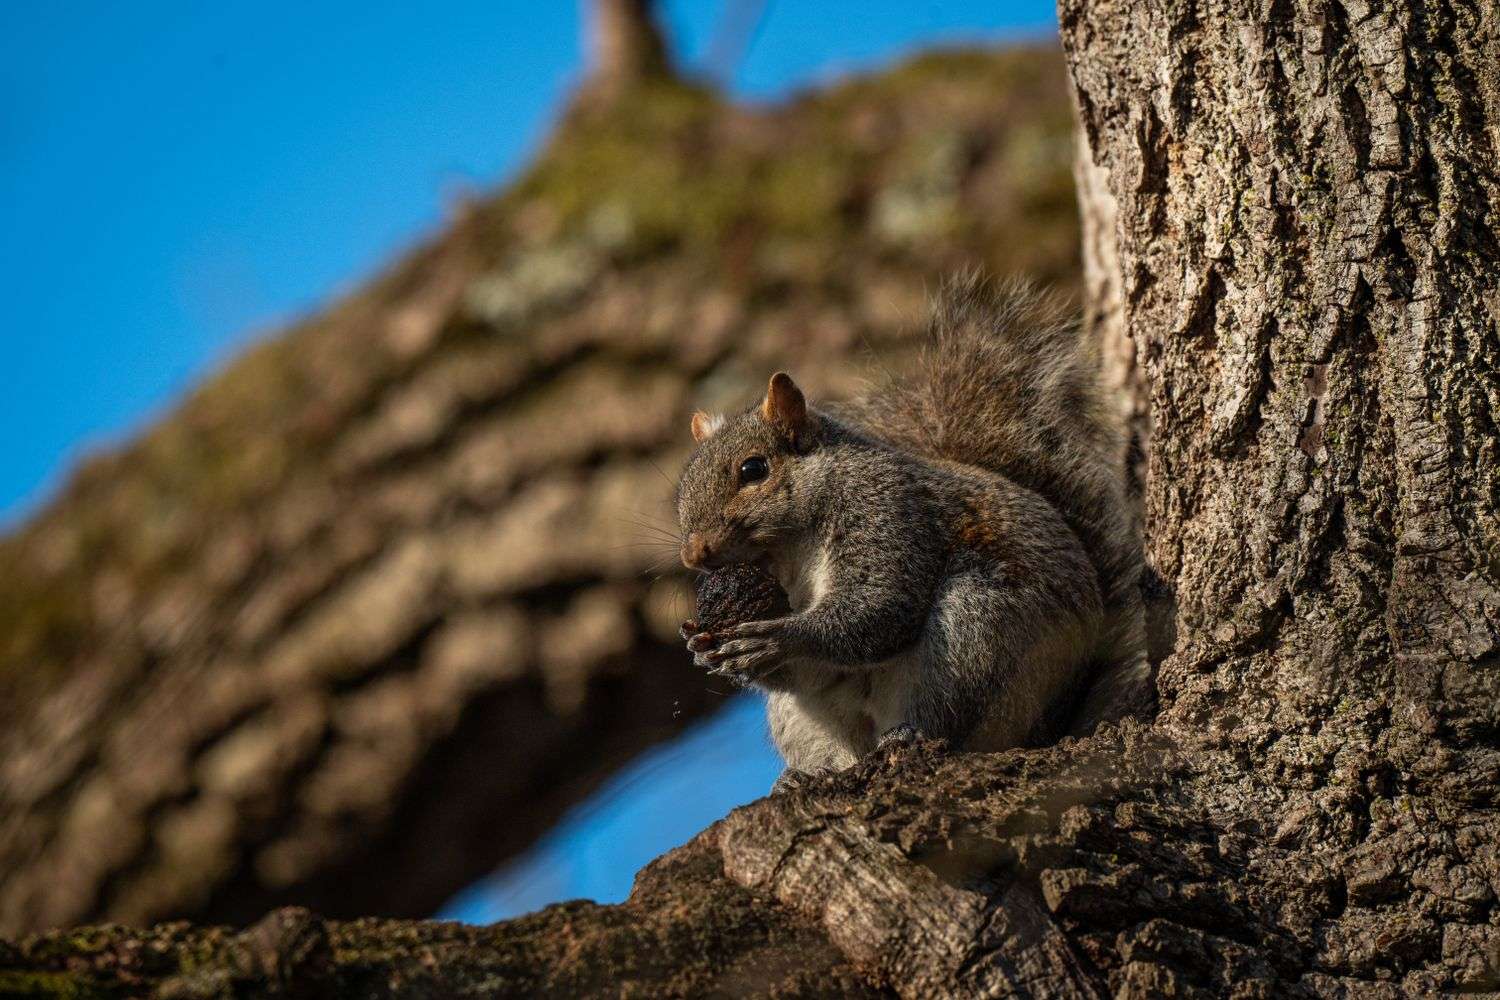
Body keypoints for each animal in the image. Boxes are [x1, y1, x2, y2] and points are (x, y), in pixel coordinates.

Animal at [674, 275, 1150, 787]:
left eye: (754, 469)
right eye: (683, 483)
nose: (694, 554)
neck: (790, 552)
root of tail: (1057, 719)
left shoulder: (887, 510)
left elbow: (879, 606)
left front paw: (780, 637)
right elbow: (809, 670)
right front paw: (701, 647)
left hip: (977, 633)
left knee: (953, 721)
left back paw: (910, 736)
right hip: (804, 720)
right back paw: (807, 776)